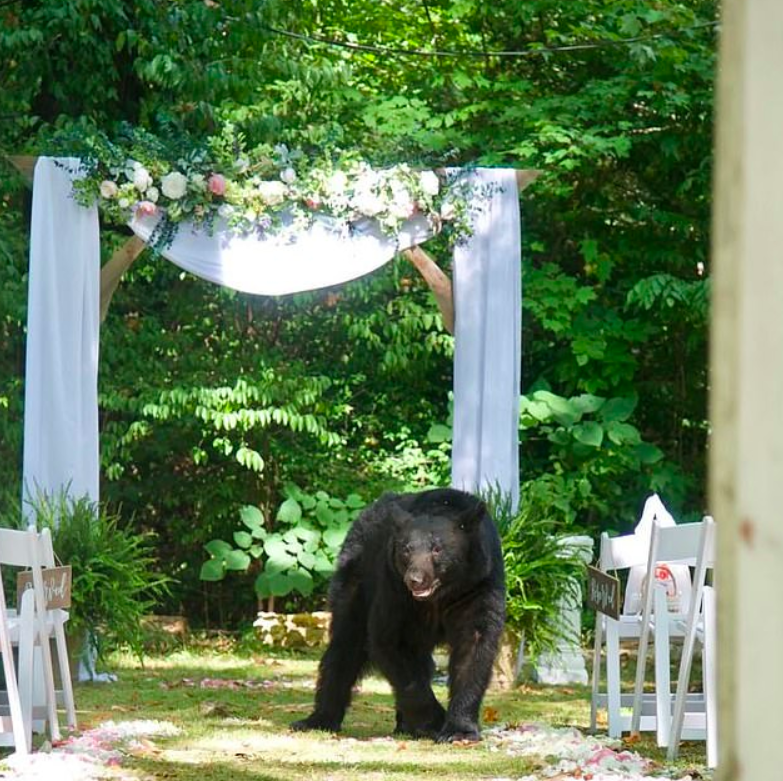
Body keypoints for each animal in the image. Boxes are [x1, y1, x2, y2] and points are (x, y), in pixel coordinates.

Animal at [291, 487, 506, 743]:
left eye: (437, 548)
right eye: (406, 549)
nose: (415, 579)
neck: (439, 598)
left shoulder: (477, 586)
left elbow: (474, 645)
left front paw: (459, 730)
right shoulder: (396, 591)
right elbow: (391, 643)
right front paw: (435, 721)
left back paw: (405, 725)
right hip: (356, 578)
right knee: (346, 644)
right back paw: (319, 719)